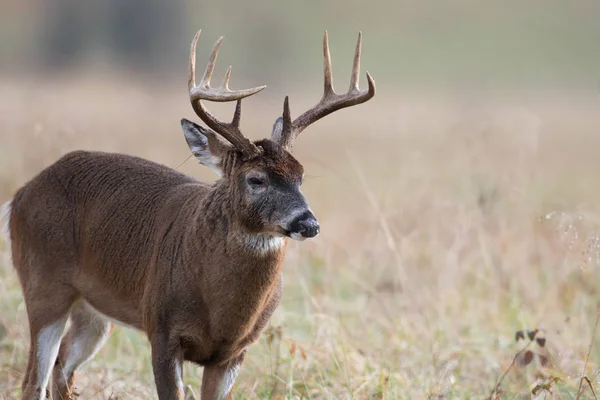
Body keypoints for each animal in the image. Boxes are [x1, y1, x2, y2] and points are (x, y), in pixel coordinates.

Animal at [5, 28, 376, 400]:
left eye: (300, 176)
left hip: (93, 311)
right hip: (43, 284)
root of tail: (20, 195)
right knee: (32, 380)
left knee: (62, 368)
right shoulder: (162, 330)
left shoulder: (235, 352)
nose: (308, 223)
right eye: (256, 179)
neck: (220, 312)